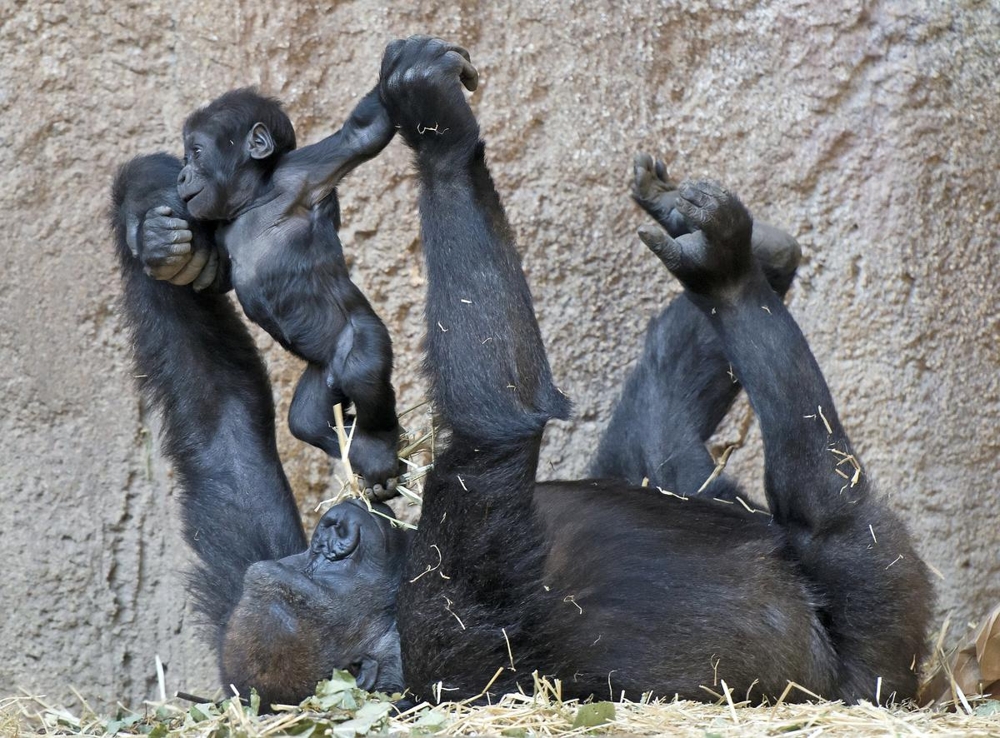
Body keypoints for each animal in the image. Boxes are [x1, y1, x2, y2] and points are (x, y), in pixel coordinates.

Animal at [171, 86, 402, 492]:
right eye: (186, 157)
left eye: (196, 152)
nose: (183, 174)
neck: (253, 201)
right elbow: (218, 276)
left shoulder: (300, 174)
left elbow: (362, 135)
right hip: (322, 374)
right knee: (308, 420)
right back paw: (361, 454)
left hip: (361, 337)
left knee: (362, 371)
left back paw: (380, 445)